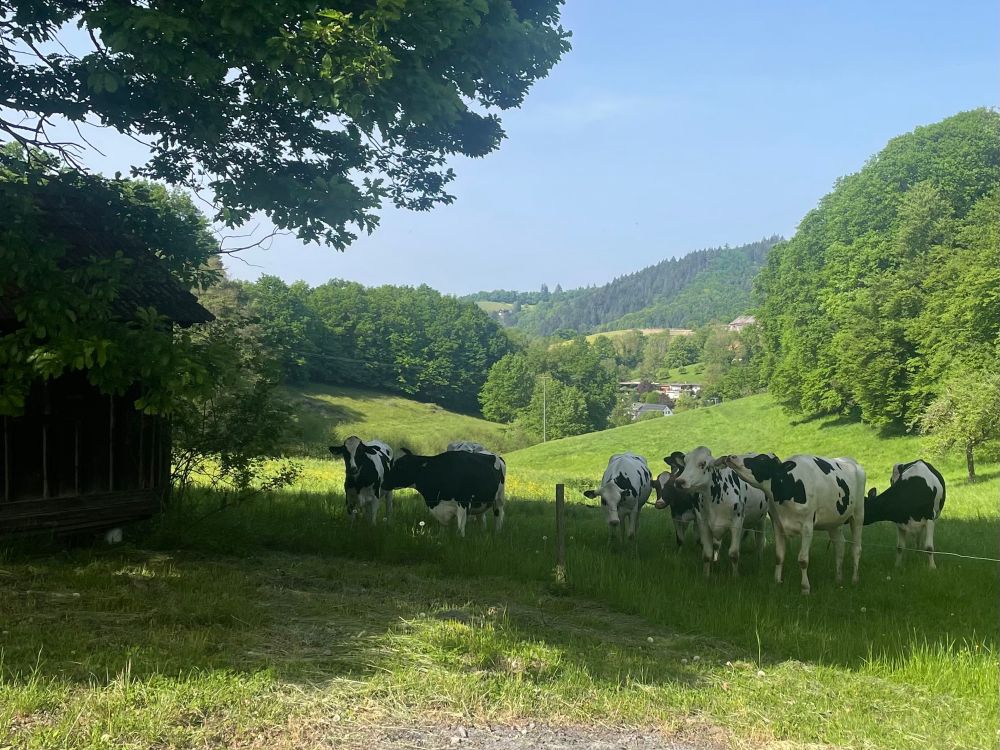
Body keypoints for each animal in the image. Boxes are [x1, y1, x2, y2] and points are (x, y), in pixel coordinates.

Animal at [670, 447, 768, 577]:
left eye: (702, 464)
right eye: (685, 463)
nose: (680, 481)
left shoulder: (737, 523)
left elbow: (734, 553)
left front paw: (735, 576)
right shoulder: (703, 523)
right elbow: (707, 554)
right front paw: (706, 576)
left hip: (761, 519)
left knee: (760, 542)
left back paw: (760, 564)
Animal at [724, 452, 866, 594]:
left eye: (762, 458)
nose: (731, 456)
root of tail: (851, 461)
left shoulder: (807, 527)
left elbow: (803, 560)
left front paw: (805, 588)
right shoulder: (777, 524)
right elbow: (779, 556)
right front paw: (777, 582)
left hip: (858, 514)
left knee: (856, 548)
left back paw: (854, 580)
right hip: (833, 521)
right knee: (840, 545)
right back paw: (838, 579)